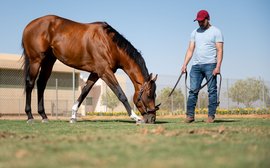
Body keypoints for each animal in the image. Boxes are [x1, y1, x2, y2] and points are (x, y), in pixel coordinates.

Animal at [22, 15, 160, 124]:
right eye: (149, 95)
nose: (152, 119)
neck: (109, 43)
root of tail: (29, 26)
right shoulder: (105, 72)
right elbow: (121, 94)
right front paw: (135, 117)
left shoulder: (95, 73)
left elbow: (84, 92)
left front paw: (73, 117)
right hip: (36, 61)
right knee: (30, 84)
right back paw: (30, 116)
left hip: (48, 62)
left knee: (41, 84)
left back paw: (44, 116)